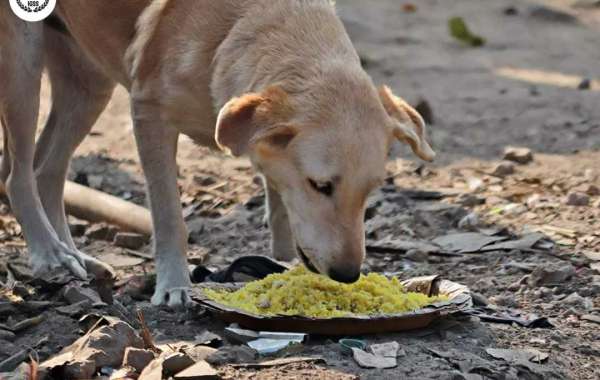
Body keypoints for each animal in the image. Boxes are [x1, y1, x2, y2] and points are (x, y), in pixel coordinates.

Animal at [0, 0, 434, 308]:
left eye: (370, 192)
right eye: (320, 185)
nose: (347, 274)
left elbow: (280, 210)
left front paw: (281, 266)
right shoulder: (148, 113)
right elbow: (170, 217)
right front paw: (175, 285)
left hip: (88, 83)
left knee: (46, 171)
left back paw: (73, 256)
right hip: (23, 62)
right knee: (17, 176)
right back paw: (49, 254)